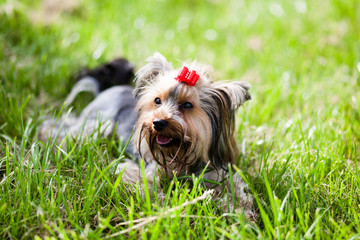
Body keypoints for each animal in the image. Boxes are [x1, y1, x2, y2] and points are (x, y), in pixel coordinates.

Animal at [39, 52, 256, 219]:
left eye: (187, 105)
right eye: (157, 101)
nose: (158, 123)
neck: (180, 156)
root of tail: (109, 88)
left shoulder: (218, 172)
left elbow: (237, 191)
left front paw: (241, 214)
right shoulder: (146, 168)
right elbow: (147, 186)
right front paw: (164, 207)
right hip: (96, 124)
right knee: (61, 128)